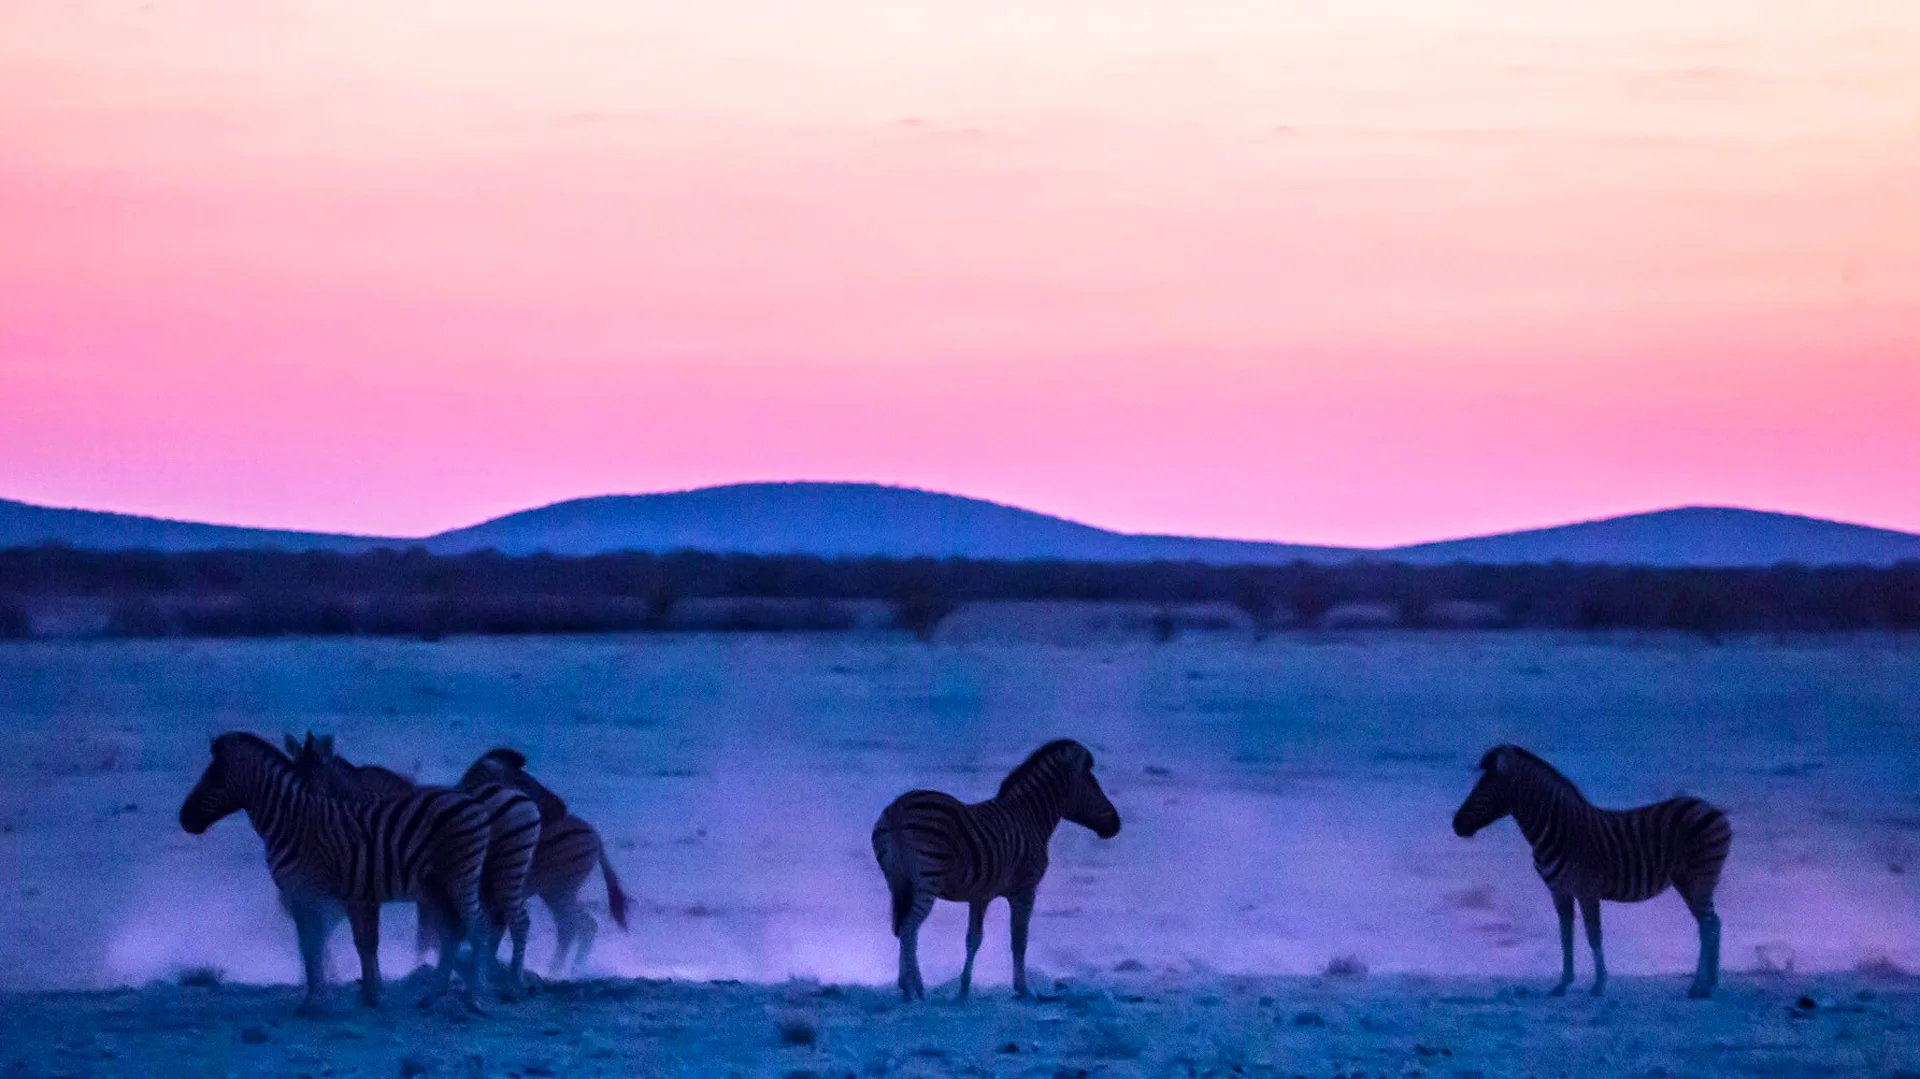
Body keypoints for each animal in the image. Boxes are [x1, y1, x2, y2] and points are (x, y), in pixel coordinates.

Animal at [176, 725, 499, 1013]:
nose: (184, 819)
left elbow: (318, 944)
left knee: (479, 927)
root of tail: (469, 799)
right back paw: (432, 996)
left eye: (215, 777)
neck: (291, 821)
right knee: (453, 932)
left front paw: (318, 1002)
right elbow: (313, 945)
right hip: (437, 885)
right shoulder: (300, 895)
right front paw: (323, 997)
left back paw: (474, 998)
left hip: (460, 876)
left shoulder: (315, 892)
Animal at [288, 733, 552, 998]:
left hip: (505, 870)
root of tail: (519, 797)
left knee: (516, 921)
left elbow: (368, 940)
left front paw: (374, 990)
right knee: (499, 921)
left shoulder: (366, 893)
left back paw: (509, 984)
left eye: (311, 783)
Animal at [455, 748, 629, 975]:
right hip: (553, 892)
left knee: (578, 925)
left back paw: (561, 972)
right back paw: (563, 970)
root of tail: (595, 835)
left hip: (560, 890)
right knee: (576, 926)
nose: (561, 807)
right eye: (524, 781)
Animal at [875, 737, 1121, 998]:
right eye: (1094, 786)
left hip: (898, 881)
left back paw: (908, 987)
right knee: (910, 927)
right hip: (927, 878)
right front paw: (1023, 989)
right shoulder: (1025, 889)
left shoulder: (980, 894)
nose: (1116, 824)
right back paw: (914, 989)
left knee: (902, 926)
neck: (1029, 817)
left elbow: (973, 939)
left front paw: (964, 991)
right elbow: (1019, 940)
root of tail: (898, 809)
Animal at [1443, 744, 1735, 998]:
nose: (1456, 825)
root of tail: (1711, 808)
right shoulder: (1559, 892)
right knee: (1714, 923)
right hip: (1686, 880)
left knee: (1707, 926)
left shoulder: (1587, 889)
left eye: (1484, 790)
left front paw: (1599, 985)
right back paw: (1710, 985)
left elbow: (1593, 935)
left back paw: (1697, 988)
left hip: (1699, 875)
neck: (1559, 829)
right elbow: (1565, 937)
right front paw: (1562, 985)